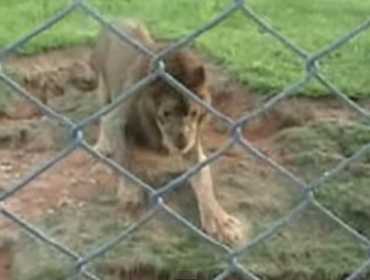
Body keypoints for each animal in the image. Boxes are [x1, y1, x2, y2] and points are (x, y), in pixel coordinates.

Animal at [86, 18, 243, 244]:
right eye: (166, 113)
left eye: (193, 113)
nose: (181, 142)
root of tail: (119, 19)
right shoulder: (119, 121)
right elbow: (125, 160)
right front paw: (129, 196)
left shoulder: (193, 144)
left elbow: (203, 179)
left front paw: (220, 222)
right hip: (104, 88)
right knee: (102, 117)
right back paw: (101, 150)